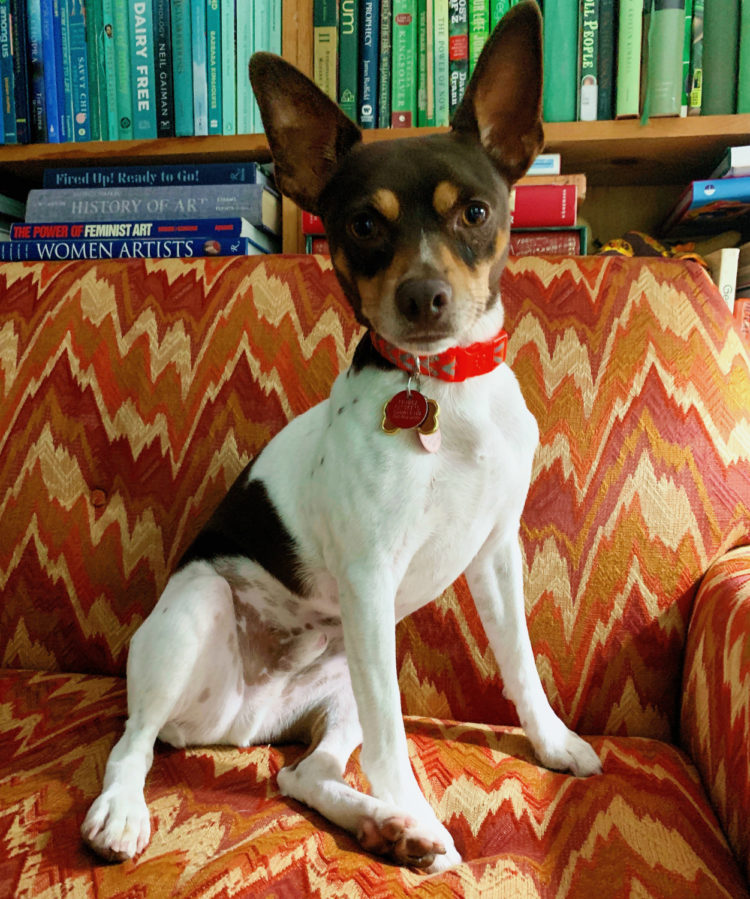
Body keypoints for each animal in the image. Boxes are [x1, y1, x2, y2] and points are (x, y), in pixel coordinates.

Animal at [81, 0, 600, 872]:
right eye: (362, 225)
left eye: (476, 212)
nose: (424, 297)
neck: (443, 388)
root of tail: (242, 724)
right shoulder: (369, 577)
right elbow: (396, 745)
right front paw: (419, 804)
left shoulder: (496, 555)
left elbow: (522, 666)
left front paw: (554, 742)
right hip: (199, 613)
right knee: (133, 741)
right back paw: (122, 811)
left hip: (345, 680)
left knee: (303, 774)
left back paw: (385, 824)